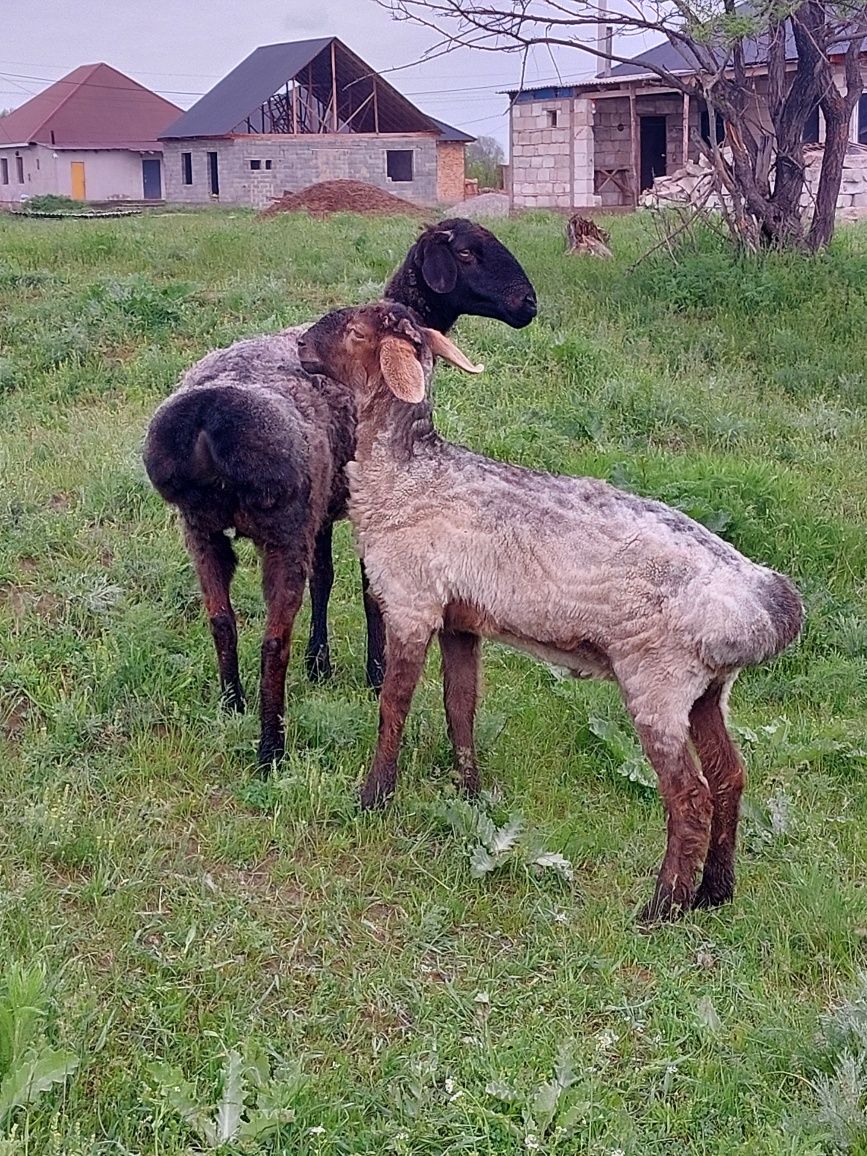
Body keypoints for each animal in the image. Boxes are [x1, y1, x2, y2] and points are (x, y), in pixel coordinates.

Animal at [142, 221, 536, 772]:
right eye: (465, 253)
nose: (529, 303)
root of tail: (207, 422)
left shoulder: (324, 508)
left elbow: (325, 580)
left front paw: (321, 663)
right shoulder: (357, 506)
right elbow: (369, 591)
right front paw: (373, 672)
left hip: (201, 528)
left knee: (221, 620)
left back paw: (231, 704)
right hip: (281, 532)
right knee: (272, 642)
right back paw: (271, 749)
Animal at [298, 302, 809, 924]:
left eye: (353, 331)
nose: (300, 347)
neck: (408, 472)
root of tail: (764, 603)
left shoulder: (411, 604)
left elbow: (393, 706)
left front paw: (373, 797)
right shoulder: (461, 620)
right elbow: (460, 707)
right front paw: (469, 793)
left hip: (656, 682)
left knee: (691, 797)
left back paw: (660, 909)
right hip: (707, 689)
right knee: (730, 777)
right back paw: (714, 892)